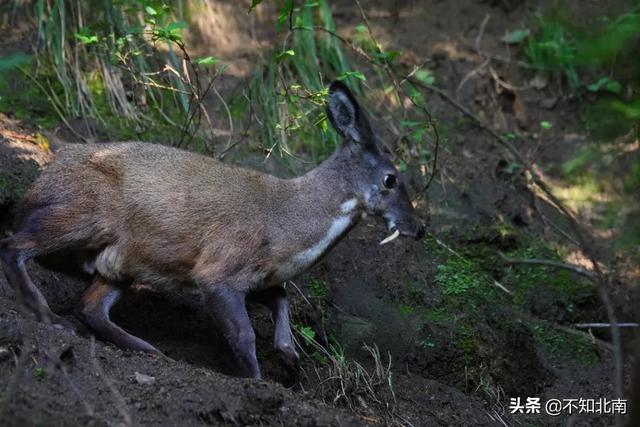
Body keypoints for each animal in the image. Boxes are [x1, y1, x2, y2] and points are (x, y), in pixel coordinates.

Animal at [0, 82, 424, 380]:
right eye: (390, 179)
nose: (417, 228)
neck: (284, 226)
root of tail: (41, 178)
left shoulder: (255, 274)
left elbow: (281, 296)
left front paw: (289, 357)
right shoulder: (218, 267)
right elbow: (244, 335)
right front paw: (257, 381)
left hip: (120, 261)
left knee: (90, 306)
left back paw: (149, 349)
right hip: (86, 215)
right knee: (14, 244)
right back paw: (49, 318)